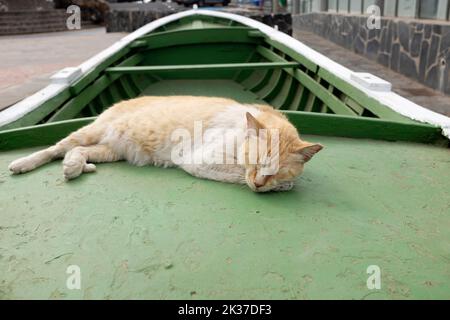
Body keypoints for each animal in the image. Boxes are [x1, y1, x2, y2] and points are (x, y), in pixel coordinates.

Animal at [7, 95, 324, 192]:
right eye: (256, 162)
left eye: (276, 170)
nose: (259, 184)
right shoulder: (200, 160)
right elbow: (238, 175)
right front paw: (280, 187)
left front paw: (280, 184)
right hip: (90, 132)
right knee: (56, 148)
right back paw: (22, 164)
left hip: (111, 151)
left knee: (76, 152)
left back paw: (75, 167)